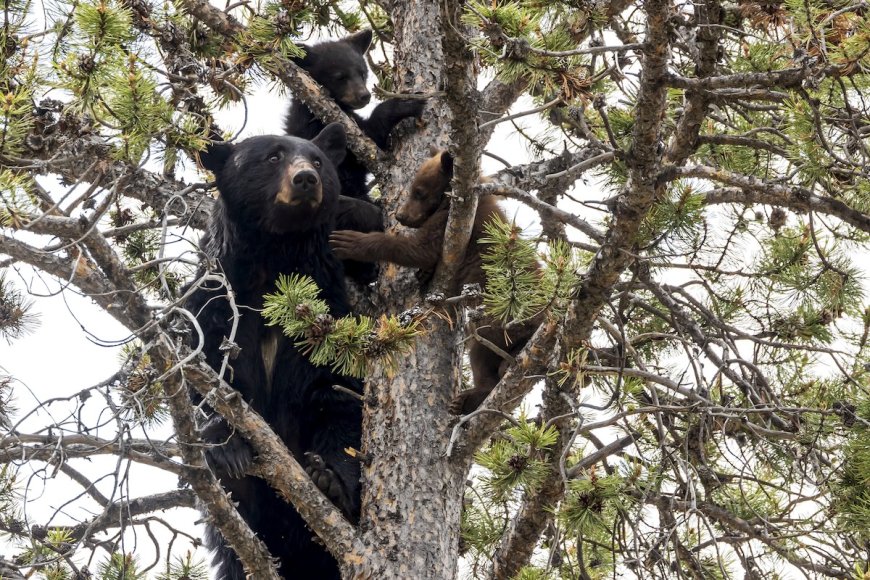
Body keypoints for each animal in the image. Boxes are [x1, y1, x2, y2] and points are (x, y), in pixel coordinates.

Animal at [186, 123, 361, 580]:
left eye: (317, 159)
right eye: (272, 156)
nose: (306, 179)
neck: (272, 266)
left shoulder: (328, 312)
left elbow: (336, 393)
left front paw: (331, 478)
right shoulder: (216, 303)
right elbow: (207, 376)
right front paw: (226, 443)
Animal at [329, 149, 541, 414]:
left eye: (419, 192)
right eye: (412, 189)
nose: (400, 216)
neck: (455, 201)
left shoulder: (451, 223)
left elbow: (420, 248)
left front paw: (350, 242)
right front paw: (423, 273)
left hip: (501, 315)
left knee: (484, 344)